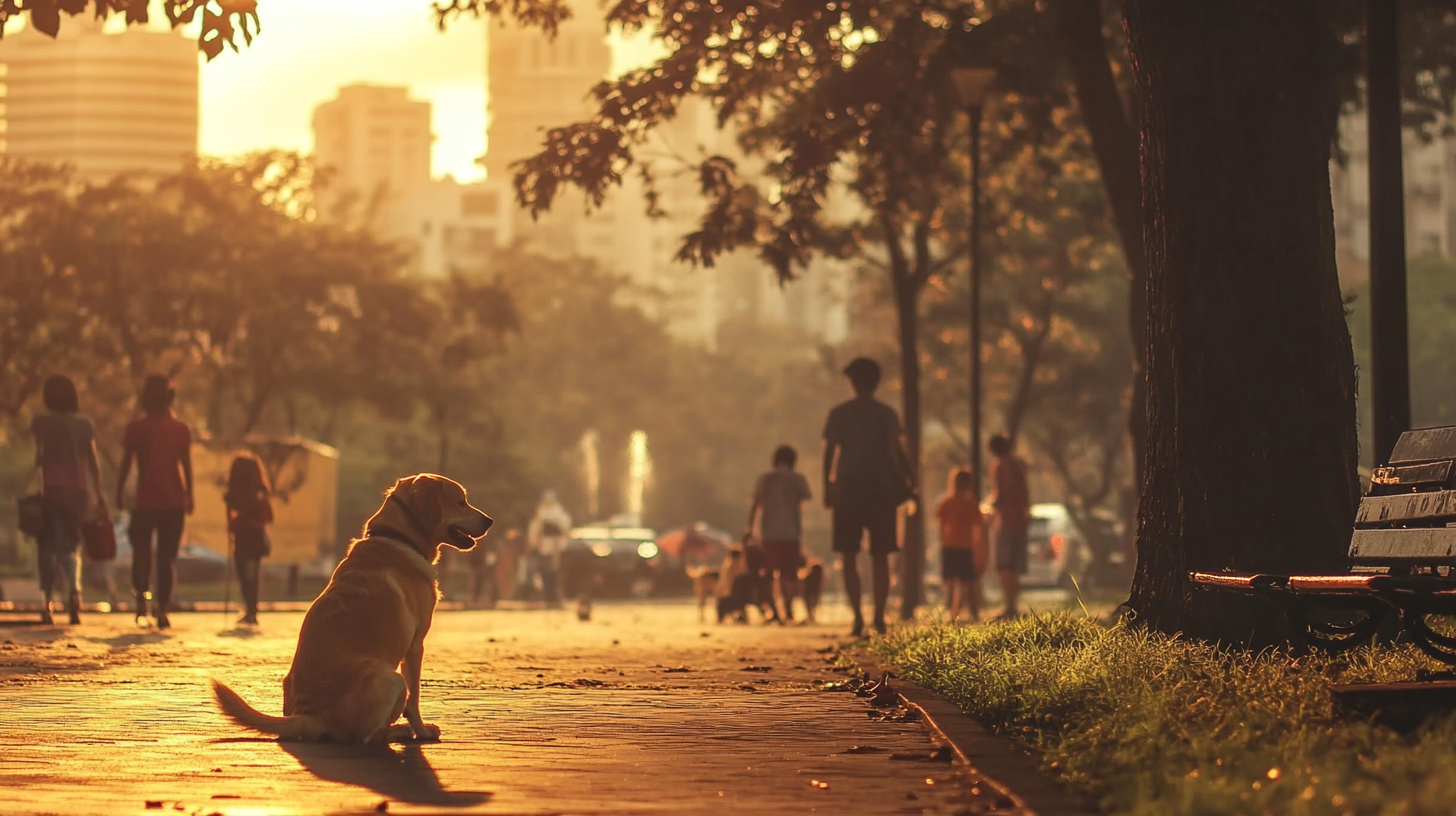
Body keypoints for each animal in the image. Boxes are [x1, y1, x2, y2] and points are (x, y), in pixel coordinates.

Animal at [212, 472, 492, 746]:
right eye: (461, 502)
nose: (490, 521)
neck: (398, 536)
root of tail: (309, 715)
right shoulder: (415, 646)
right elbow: (415, 699)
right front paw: (422, 731)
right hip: (393, 679)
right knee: (366, 737)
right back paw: (399, 731)